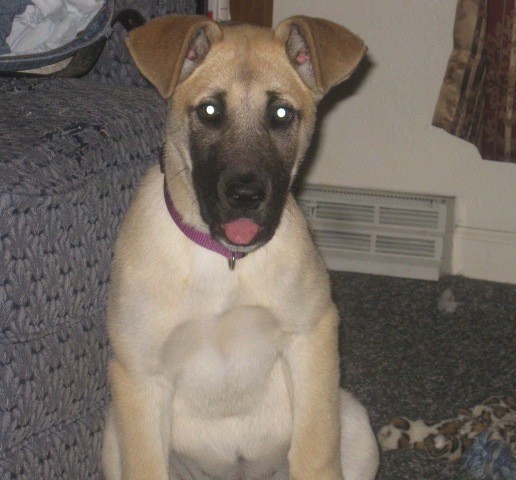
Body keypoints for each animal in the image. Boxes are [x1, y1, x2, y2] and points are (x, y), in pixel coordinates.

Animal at [103, 13, 380, 478]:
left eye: (282, 113)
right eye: (210, 111)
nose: (246, 195)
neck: (224, 261)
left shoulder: (311, 336)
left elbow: (315, 450)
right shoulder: (139, 371)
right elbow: (145, 464)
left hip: (356, 422)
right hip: (110, 436)